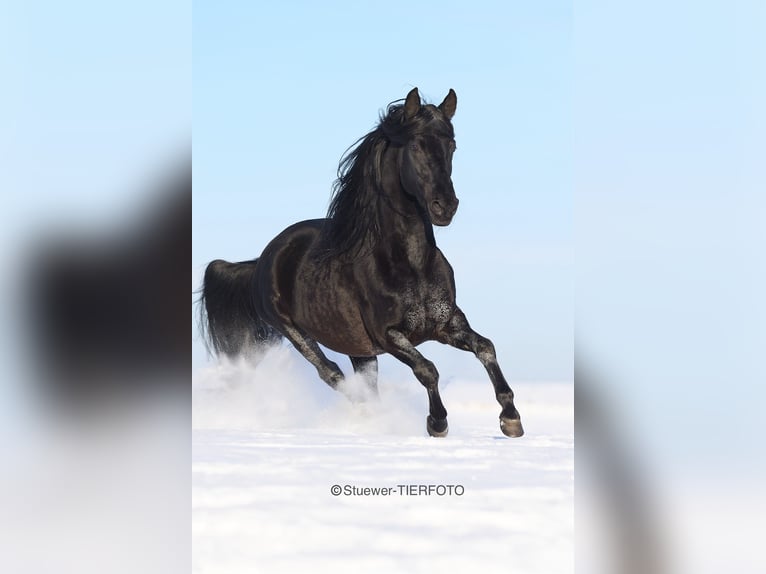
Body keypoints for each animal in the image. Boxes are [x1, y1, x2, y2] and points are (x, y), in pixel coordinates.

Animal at [198, 88, 524, 438]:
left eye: (451, 146)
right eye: (416, 145)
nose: (445, 207)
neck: (411, 263)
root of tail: (262, 260)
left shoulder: (447, 324)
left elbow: (486, 348)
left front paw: (511, 419)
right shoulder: (388, 335)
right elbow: (427, 369)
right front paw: (437, 423)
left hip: (358, 346)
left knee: (363, 383)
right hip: (291, 329)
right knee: (332, 374)